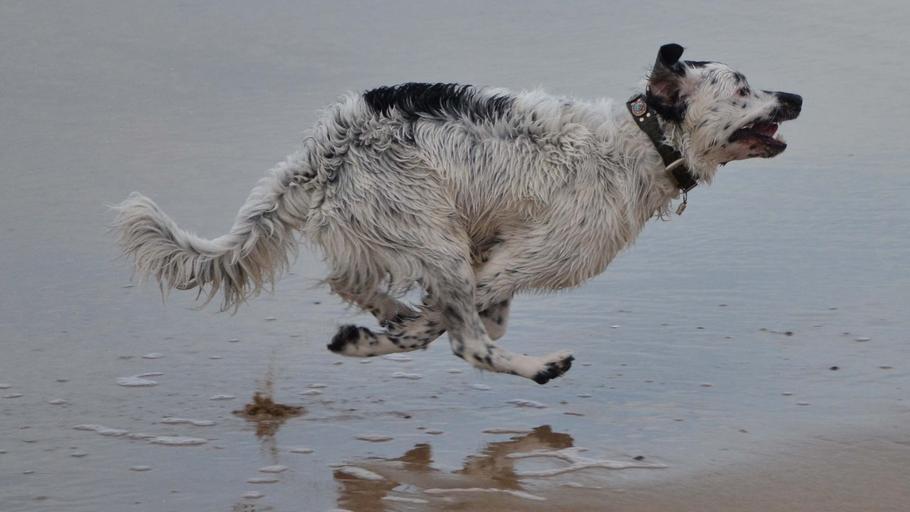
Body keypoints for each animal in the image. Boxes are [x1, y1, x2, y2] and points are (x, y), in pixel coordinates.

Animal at [113, 44, 801, 384]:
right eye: (744, 88)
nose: (795, 96)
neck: (639, 144)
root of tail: (320, 151)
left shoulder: (491, 261)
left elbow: (468, 317)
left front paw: (388, 327)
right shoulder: (509, 261)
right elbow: (456, 329)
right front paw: (386, 336)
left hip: (405, 236)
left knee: (352, 280)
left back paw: (384, 317)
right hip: (433, 237)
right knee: (467, 344)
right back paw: (535, 366)